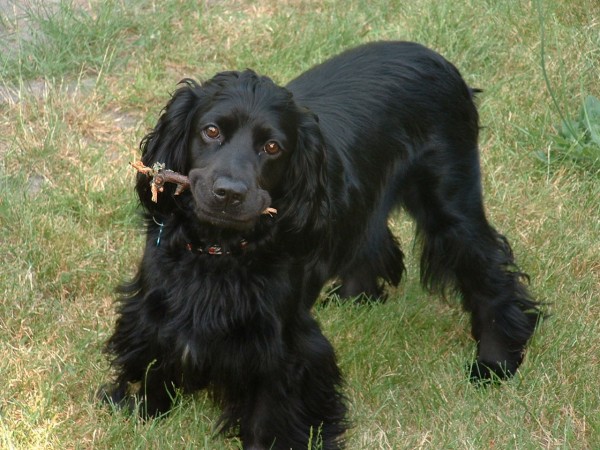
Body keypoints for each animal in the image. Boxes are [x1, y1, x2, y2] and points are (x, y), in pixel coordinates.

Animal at [101, 41, 540, 446]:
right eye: (211, 131)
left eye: (272, 147)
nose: (229, 193)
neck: (219, 253)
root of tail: (439, 60)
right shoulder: (156, 312)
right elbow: (153, 363)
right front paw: (142, 410)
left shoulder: (284, 346)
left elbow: (272, 411)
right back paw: (356, 297)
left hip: (451, 204)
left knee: (490, 274)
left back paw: (495, 362)